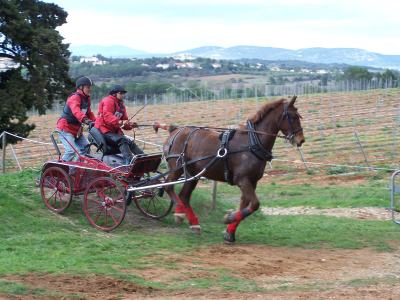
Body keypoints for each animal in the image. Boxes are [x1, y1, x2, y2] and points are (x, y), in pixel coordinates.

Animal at [155, 96, 304, 244]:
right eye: (293, 116)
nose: (301, 140)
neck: (252, 142)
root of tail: (175, 130)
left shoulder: (252, 182)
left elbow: (245, 205)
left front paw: (230, 232)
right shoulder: (242, 180)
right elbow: (255, 204)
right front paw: (229, 218)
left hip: (193, 174)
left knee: (184, 196)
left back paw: (194, 224)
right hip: (177, 168)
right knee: (168, 186)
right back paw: (179, 212)